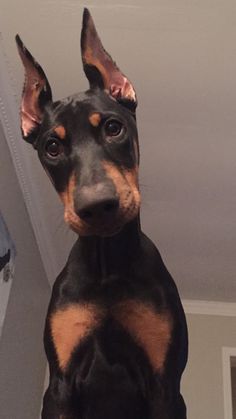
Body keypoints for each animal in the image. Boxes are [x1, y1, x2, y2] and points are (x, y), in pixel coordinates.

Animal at [15, 7, 188, 419]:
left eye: (113, 127)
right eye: (52, 147)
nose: (97, 207)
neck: (108, 266)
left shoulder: (164, 384)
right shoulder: (59, 386)